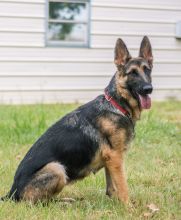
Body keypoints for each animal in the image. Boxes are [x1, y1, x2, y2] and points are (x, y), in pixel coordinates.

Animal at [0, 35, 153, 203]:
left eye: (147, 70)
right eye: (132, 73)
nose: (148, 89)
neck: (116, 105)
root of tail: (12, 192)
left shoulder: (111, 160)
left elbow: (112, 187)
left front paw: (115, 202)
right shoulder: (115, 158)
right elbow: (123, 187)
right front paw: (128, 207)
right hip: (57, 168)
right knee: (38, 202)